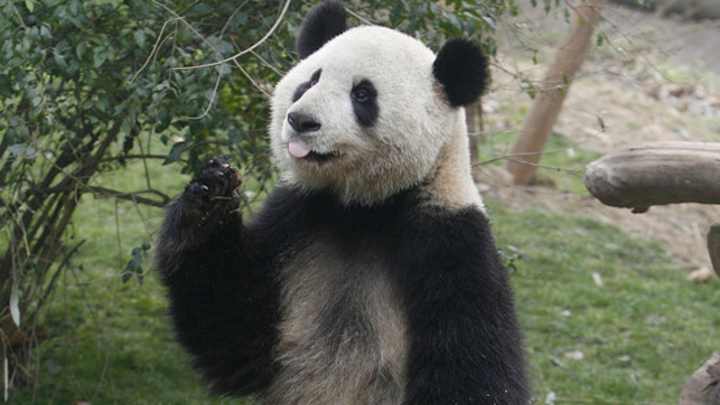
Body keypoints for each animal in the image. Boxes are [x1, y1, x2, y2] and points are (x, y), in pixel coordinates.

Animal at [155, 1, 529, 404]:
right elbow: (236, 334)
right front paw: (210, 199)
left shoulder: (450, 243)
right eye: (310, 81)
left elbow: (473, 370)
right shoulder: (296, 216)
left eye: (362, 95)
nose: (301, 120)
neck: (363, 208)